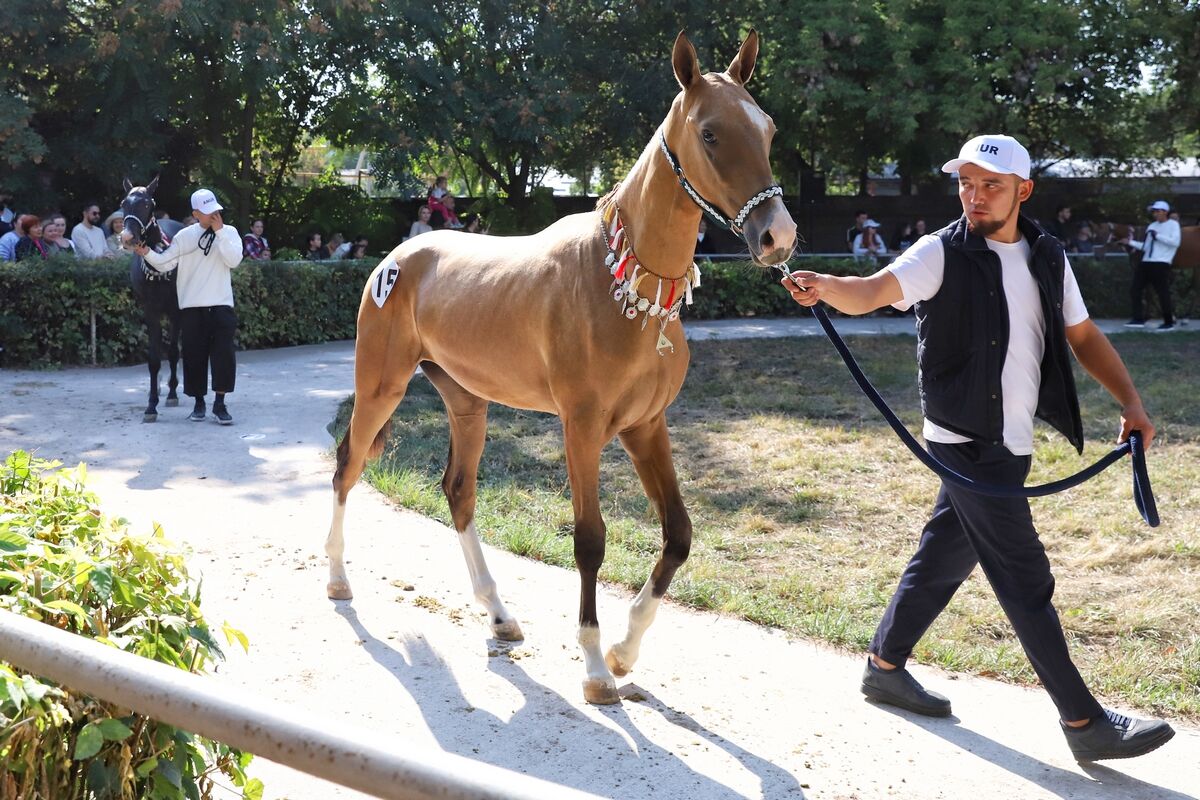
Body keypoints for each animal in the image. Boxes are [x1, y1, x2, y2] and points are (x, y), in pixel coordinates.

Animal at [119, 177, 185, 422]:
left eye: (147, 203)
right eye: (124, 203)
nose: (128, 238)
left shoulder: (176, 310)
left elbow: (174, 352)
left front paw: (172, 392)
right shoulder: (150, 310)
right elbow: (154, 359)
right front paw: (151, 404)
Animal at [326, 30, 797, 705]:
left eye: (768, 128)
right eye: (710, 133)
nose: (777, 236)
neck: (624, 283)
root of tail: (396, 258)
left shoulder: (645, 427)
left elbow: (678, 533)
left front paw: (626, 651)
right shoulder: (582, 428)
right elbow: (590, 540)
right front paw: (597, 668)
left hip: (467, 402)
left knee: (459, 491)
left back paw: (499, 614)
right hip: (380, 387)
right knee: (348, 466)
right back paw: (339, 580)